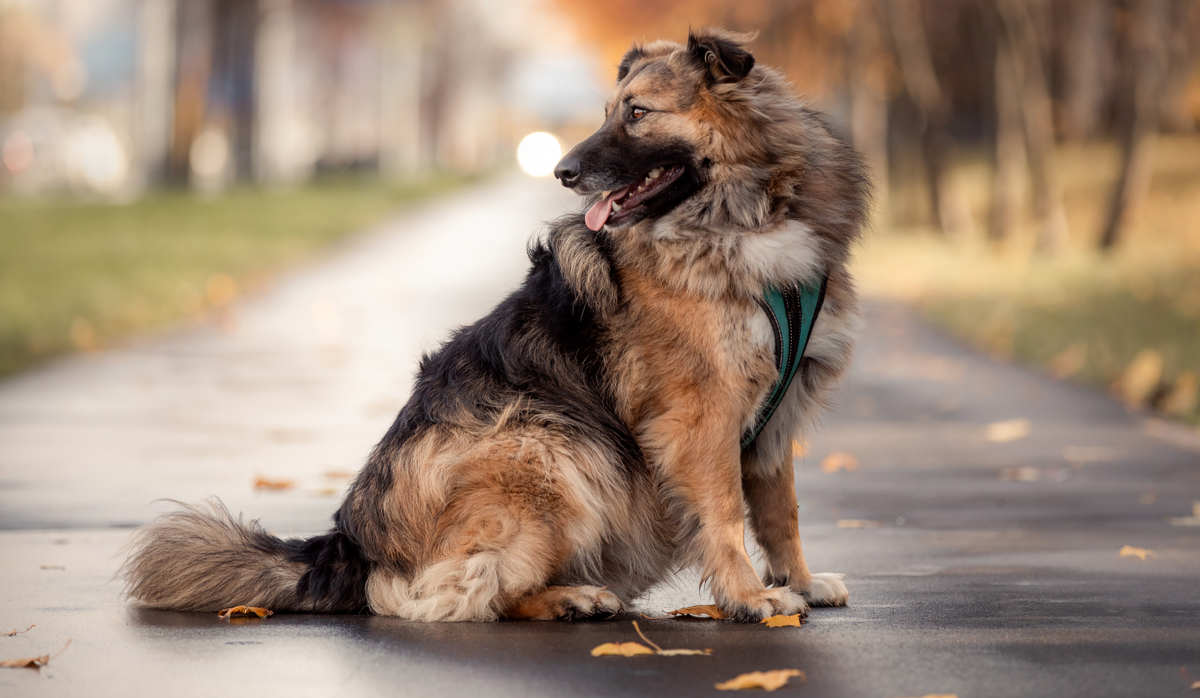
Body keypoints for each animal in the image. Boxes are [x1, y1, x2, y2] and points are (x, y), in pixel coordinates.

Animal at [121, 28, 868, 623]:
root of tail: (353, 546)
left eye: (637, 114)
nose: (563, 171)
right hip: (547, 452)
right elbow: (724, 514)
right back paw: (570, 597)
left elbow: (779, 511)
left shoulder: (773, 417)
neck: (748, 218)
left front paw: (800, 582)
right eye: (610, 113)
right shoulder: (701, 415)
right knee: (470, 591)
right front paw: (750, 597)